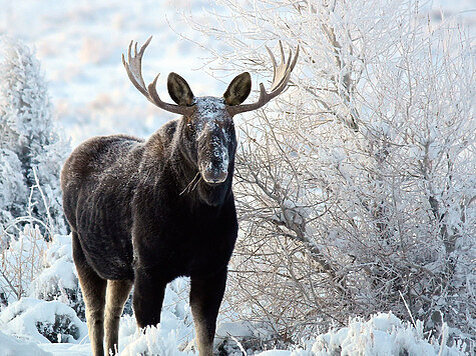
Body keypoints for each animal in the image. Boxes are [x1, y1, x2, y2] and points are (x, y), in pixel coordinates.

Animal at [60, 36, 298, 356]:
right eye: (191, 126)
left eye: (230, 126)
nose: (215, 166)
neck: (196, 221)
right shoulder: (149, 268)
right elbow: (150, 338)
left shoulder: (213, 267)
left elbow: (205, 337)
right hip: (82, 251)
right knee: (94, 316)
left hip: (120, 269)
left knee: (111, 313)